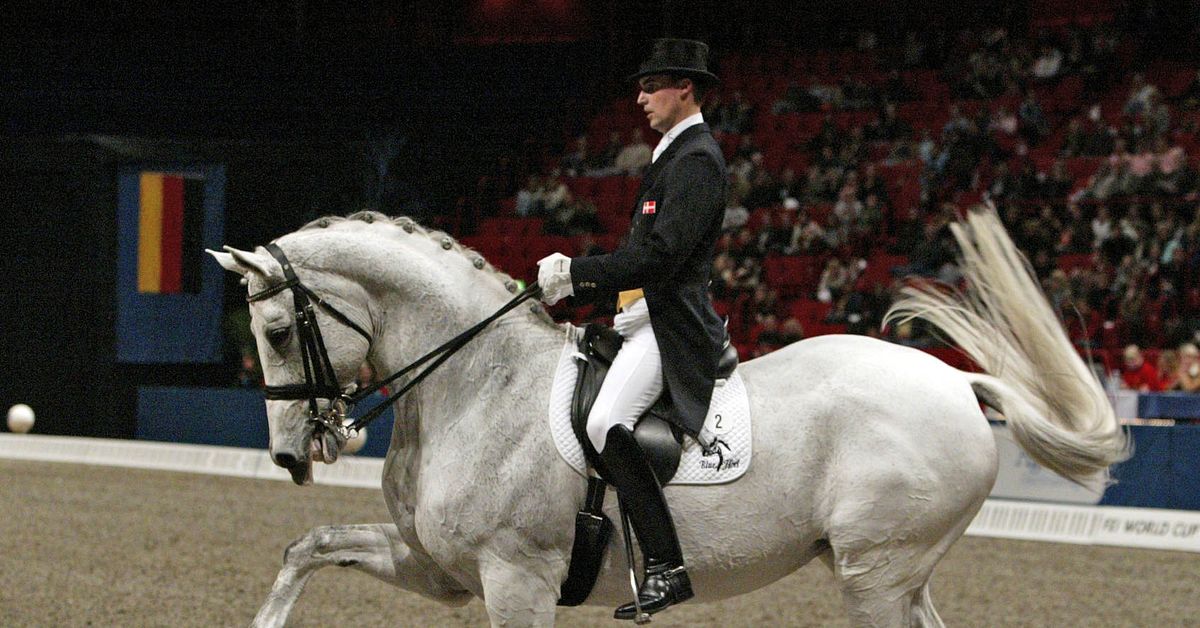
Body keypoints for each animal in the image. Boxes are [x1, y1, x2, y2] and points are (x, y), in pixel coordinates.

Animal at [209, 208, 1126, 627]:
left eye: (278, 330)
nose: (291, 455)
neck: (476, 383)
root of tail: (958, 385)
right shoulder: (444, 568)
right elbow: (309, 546)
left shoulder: (514, 577)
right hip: (895, 574)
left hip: (877, 572)